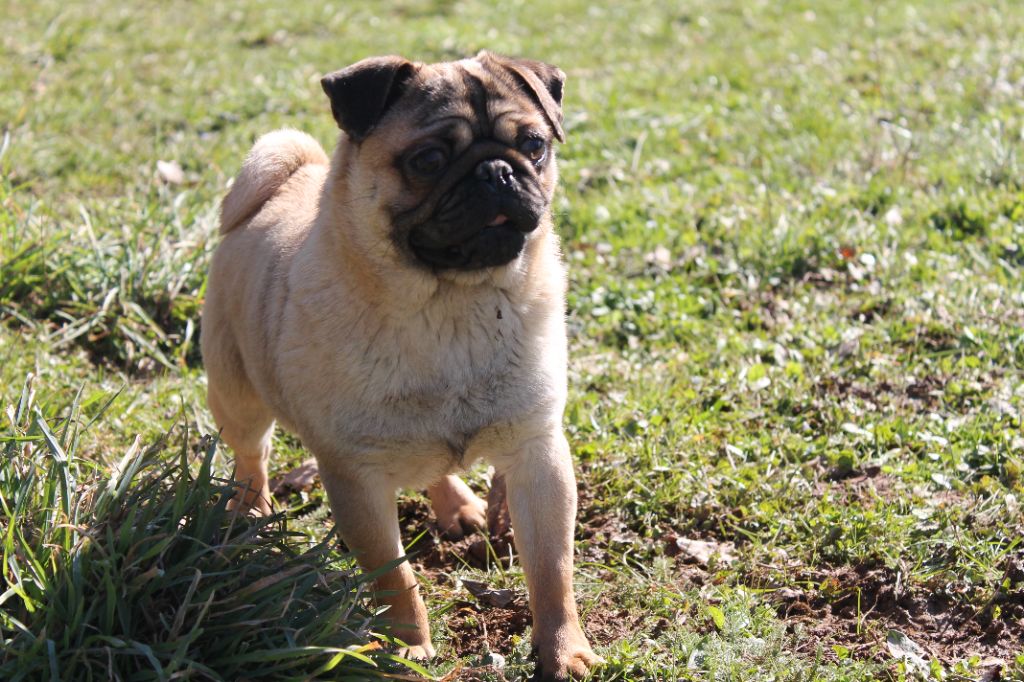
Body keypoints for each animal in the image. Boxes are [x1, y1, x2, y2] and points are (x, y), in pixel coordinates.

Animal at [199, 50, 598, 675]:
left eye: (533, 144)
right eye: (428, 160)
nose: (497, 171)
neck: (454, 309)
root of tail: (287, 180)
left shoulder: (539, 457)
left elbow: (552, 571)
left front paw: (565, 649)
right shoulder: (356, 480)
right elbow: (396, 578)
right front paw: (407, 647)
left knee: (435, 465)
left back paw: (458, 506)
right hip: (238, 396)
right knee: (251, 456)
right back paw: (254, 512)